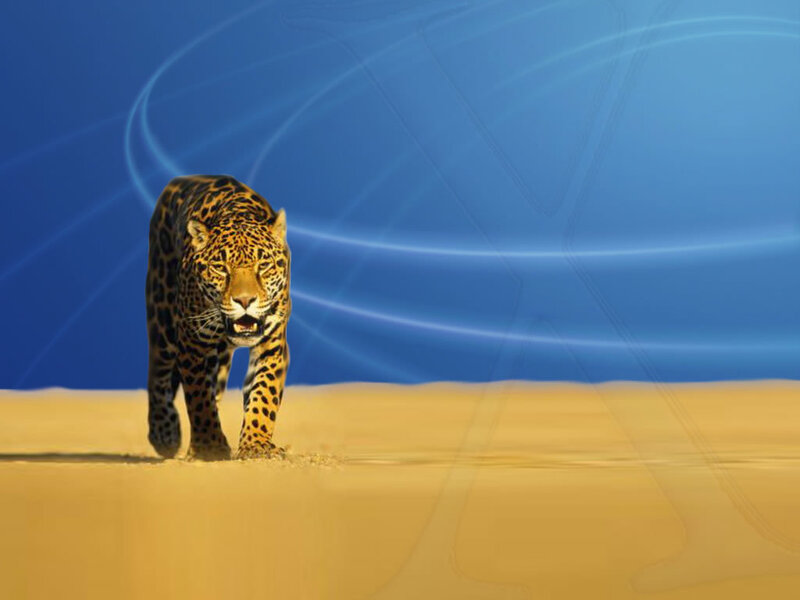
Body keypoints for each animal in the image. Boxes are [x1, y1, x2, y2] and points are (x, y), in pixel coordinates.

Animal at [145, 174, 291, 460]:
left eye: (263, 266)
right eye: (221, 268)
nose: (245, 301)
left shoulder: (272, 342)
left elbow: (263, 392)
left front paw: (256, 444)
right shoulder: (192, 344)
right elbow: (199, 398)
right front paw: (210, 446)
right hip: (162, 317)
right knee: (157, 373)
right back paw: (164, 434)